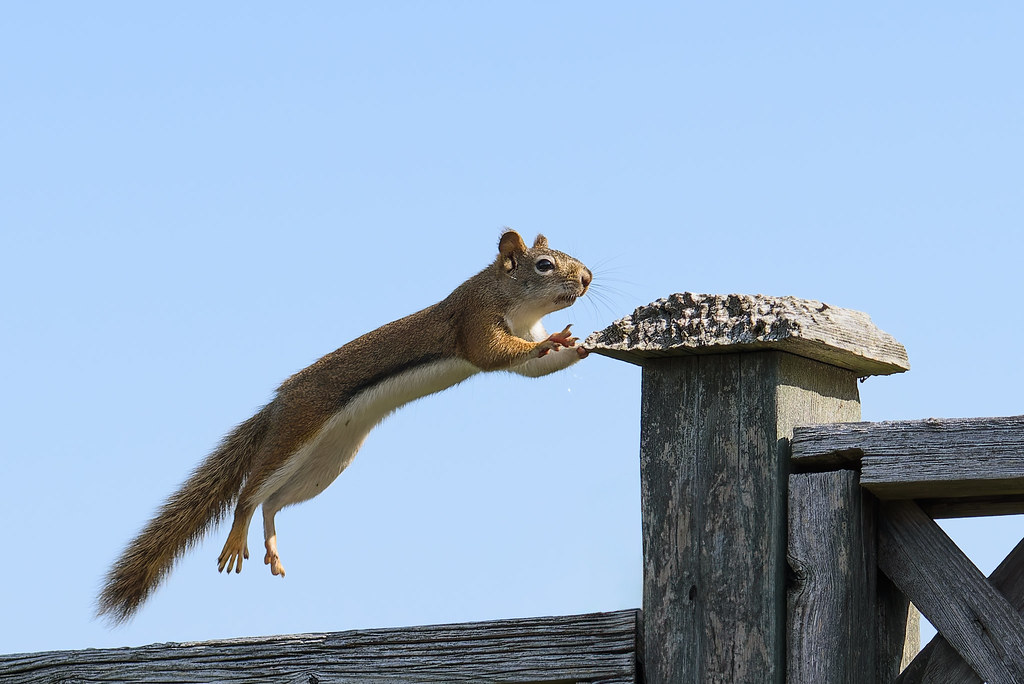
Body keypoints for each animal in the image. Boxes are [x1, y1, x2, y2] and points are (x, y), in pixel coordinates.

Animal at [97, 229, 592, 624]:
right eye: (544, 265)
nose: (587, 278)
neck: (511, 300)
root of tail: (277, 404)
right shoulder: (474, 320)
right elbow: (496, 354)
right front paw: (555, 340)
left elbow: (536, 367)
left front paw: (581, 345)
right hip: (297, 432)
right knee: (250, 493)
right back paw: (238, 535)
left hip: (328, 461)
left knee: (273, 502)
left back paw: (272, 544)